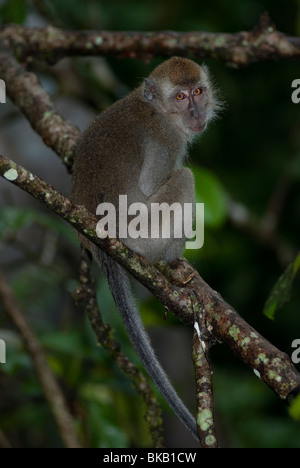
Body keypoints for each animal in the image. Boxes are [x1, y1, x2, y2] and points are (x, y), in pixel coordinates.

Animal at [71, 56, 219, 440]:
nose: (196, 111)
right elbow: (153, 184)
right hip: (143, 235)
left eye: (198, 91)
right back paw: (173, 259)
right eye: (181, 96)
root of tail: (102, 245)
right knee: (184, 177)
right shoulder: (167, 141)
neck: (157, 109)